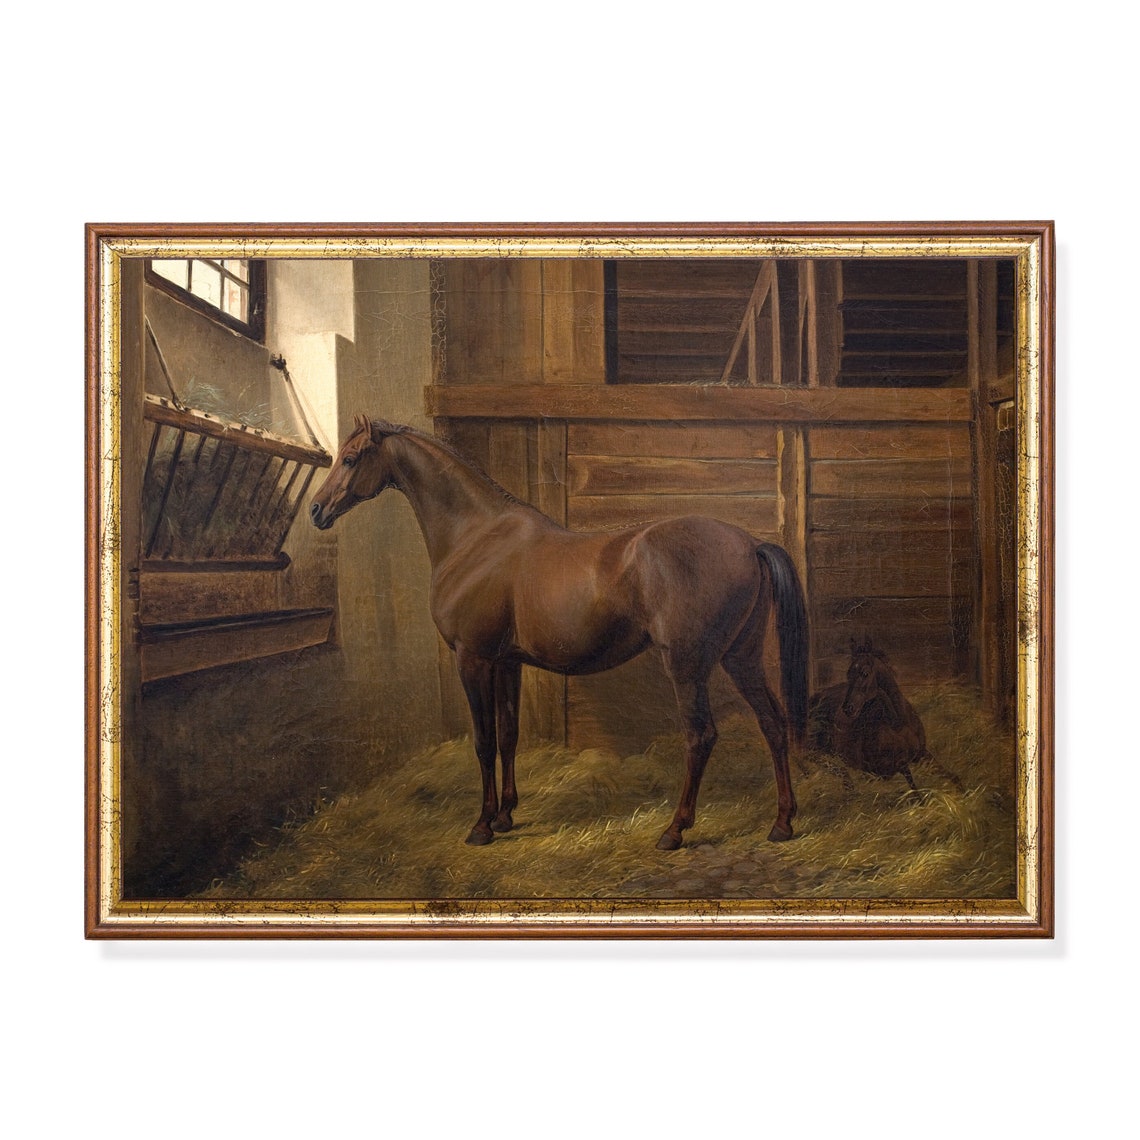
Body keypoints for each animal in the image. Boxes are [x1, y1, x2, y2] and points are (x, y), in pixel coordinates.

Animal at [310, 415, 809, 851]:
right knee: (773, 722)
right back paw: (782, 822)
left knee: (700, 736)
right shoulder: (507, 662)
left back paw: (674, 831)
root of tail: (750, 543)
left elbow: (483, 741)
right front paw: (505, 815)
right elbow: (509, 734)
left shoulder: (472, 659)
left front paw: (481, 826)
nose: (316, 511)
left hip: (688, 667)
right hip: (740, 658)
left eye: (350, 458)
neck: (476, 537)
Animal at [809, 638, 929, 790]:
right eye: (848, 674)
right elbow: (913, 784)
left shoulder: (923, 754)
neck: (898, 724)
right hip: (817, 747)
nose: (848, 708)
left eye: (865, 673)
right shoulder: (883, 770)